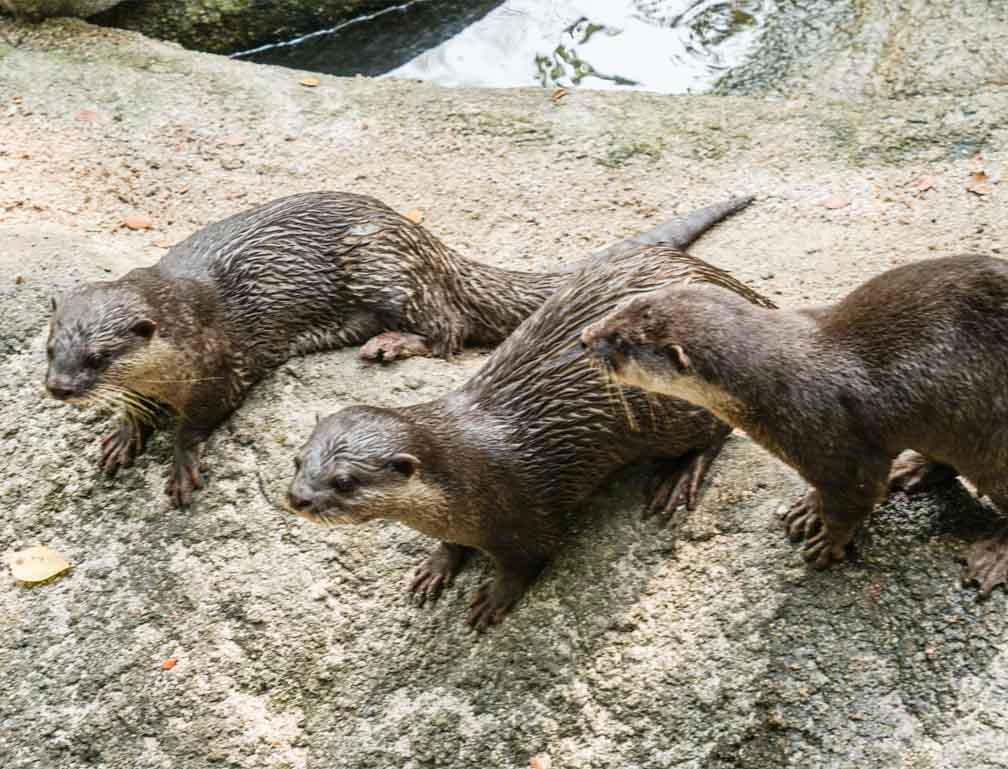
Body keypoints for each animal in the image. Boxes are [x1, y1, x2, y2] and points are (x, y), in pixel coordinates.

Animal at [43, 191, 753, 511]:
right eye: (51, 350)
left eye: (98, 357)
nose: (59, 388)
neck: (183, 320)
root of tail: (434, 247)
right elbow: (137, 411)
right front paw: (122, 434)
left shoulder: (224, 362)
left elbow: (202, 418)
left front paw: (181, 461)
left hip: (382, 266)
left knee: (449, 328)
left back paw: (389, 344)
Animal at [284, 220, 770, 624]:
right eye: (297, 460)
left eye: (344, 481)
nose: (298, 498)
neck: (464, 478)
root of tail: (719, 280)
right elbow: (452, 545)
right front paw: (438, 564)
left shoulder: (526, 513)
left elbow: (529, 560)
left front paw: (495, 597)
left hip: (677, 406)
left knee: (719, 427)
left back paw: (680, 475)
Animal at [580, 255, 1008, 596]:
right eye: (622, 306)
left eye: (620, 342)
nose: (584, 338)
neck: (776, 383)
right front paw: (810, 507)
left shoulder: (834, 443)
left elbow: (855, 498)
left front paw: (829, 541)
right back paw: (912, 468)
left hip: (992, 445)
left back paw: (993, 556)